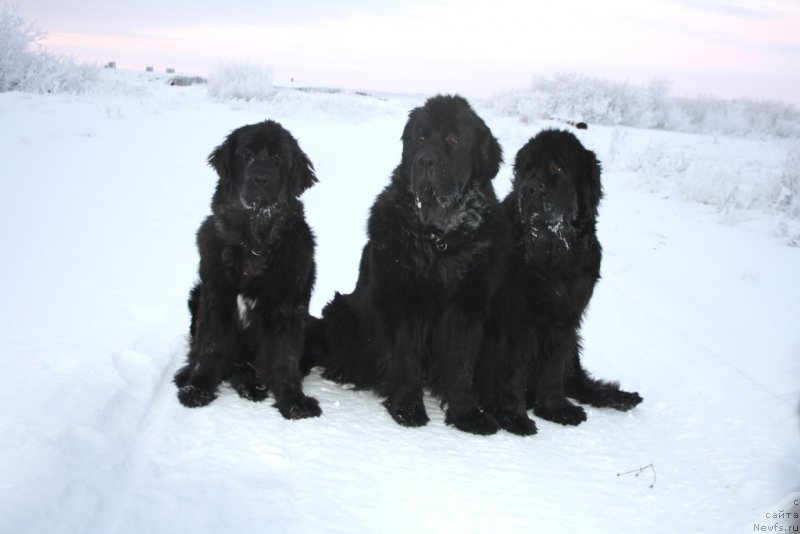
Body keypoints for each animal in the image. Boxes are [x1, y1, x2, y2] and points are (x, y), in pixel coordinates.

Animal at [175, 121, 322, 422]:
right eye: (247, 153)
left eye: (278, 157)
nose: (260, 178)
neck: (255, 243)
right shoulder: (215, 298)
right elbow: (210, 347)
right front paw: (198, 389)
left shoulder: (289, 308)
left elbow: (285, 358)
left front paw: (294, 402)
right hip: (196, 294)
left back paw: (252, 384)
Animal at [310, 95, 510, 436]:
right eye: (420, 136)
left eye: (453, 139)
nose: (425, 161)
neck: (440, 238)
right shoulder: (405, 300)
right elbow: (406, 357)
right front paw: (406, 408)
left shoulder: (468, 306)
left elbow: (461, 363)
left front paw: (467, 413)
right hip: (341, 310)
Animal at [476, 130, 644, 436]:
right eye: (526, 168)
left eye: (557, 168)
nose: (529, 189)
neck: (551, 256)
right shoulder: (513, 322)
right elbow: (511, 370)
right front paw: (513, 415)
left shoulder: (565, 321)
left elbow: (554, 369)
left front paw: (556, 408)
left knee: (577, 380)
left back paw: (618, 397)